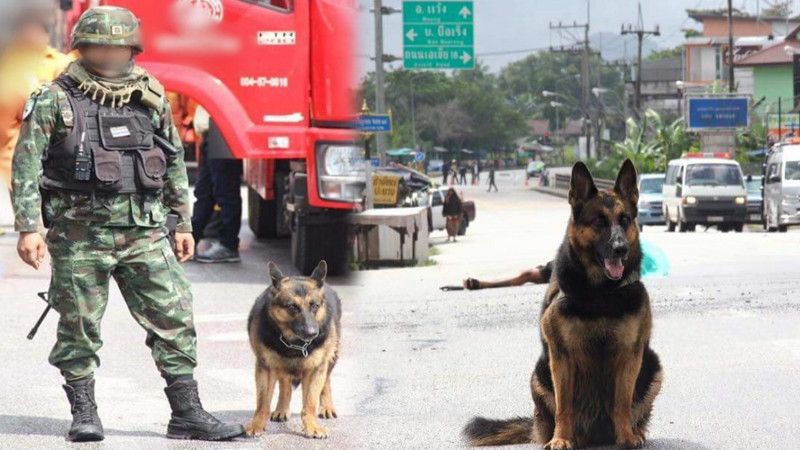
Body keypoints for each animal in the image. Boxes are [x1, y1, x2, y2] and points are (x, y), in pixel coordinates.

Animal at [245, 260, 342, 440]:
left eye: (314, 306)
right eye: (292, 307)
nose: (312, 333)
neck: (295, 344)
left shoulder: (316, 369)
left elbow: (310, 402)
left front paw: (311, 426)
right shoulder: (266, 369)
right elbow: (262, 403)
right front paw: (257, 425)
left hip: (331, 357)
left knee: (326, 382)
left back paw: (326, 407)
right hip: (280, 367)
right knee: (285, 386)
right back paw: (281, 409)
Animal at [462, 160, 664, 448]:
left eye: (624, 220)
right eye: (599, 221)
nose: (621, 249)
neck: (601, 293)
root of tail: (596, 434)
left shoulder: (630, 354)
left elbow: (622, 402)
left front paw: (626, 435)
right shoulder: (561, 357)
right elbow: (563, 406)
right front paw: (561, 439)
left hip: (653, 365)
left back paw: (634, 431)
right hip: (539, 372)